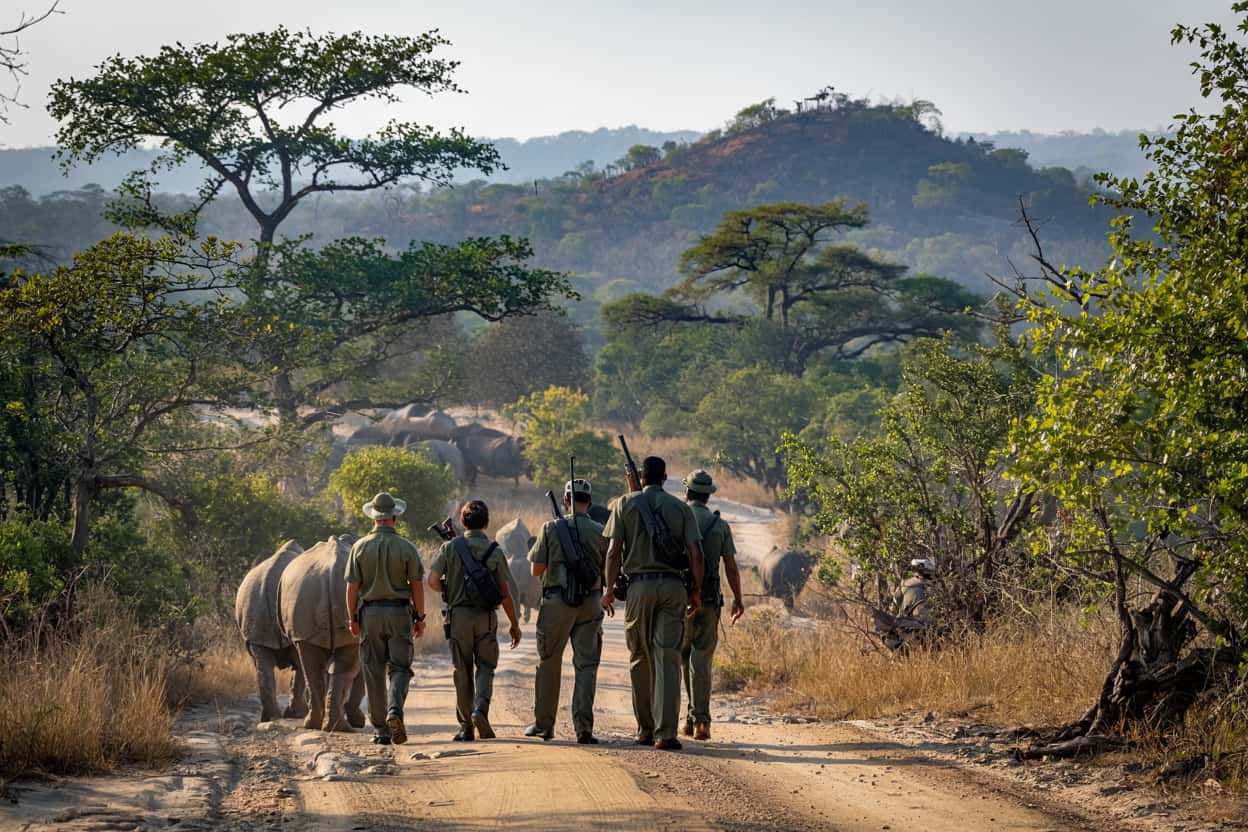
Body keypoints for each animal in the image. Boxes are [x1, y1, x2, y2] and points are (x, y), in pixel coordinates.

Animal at [278, 536, 366, 732]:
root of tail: (331, 568)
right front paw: (358, 721)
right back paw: (330, 725)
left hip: (306, 593)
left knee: (314, 664)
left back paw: (320, 725)